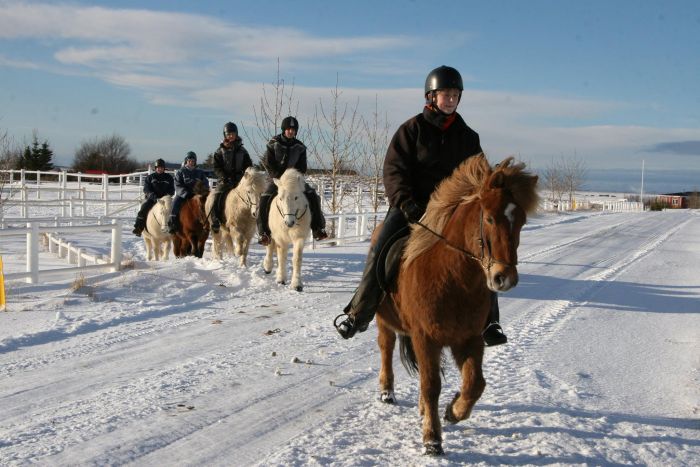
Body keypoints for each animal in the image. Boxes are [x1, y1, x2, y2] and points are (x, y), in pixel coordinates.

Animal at [374, 154, 540, 458]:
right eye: (489, 218)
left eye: (521, 221)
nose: (505, 278)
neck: (453, 279)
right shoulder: (425, 337)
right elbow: (431, 385)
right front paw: (432, 439)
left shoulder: (469, 338)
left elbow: (475, 383)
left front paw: (453, 411)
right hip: (385, 322)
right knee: (386, 349)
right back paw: (387, 391)